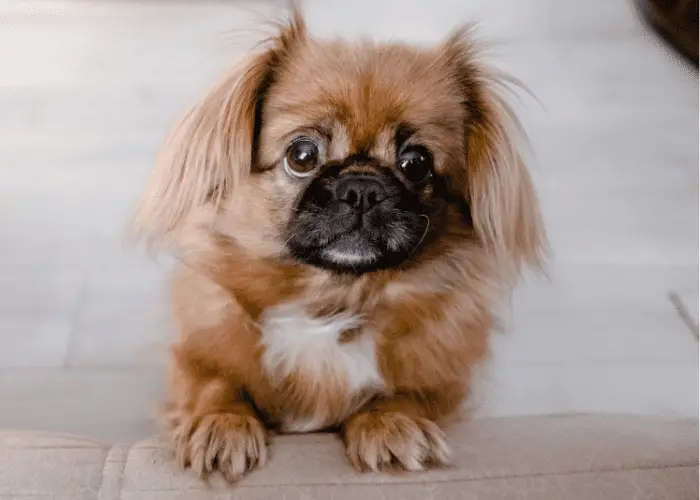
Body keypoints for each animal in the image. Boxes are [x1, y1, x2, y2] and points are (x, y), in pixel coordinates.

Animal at [131, 7, 548, 482]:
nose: (362, 188)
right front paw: (221, 425)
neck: (332, 297)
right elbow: (216, 384)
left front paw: (392, 424)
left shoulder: (442, 382)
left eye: (416, 162)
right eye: (302, 155)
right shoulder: (196, 356)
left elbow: (404, 393)